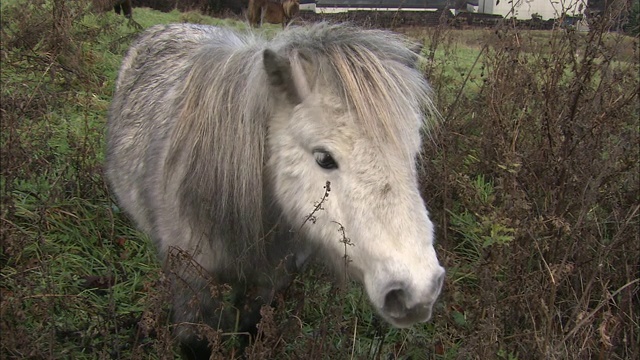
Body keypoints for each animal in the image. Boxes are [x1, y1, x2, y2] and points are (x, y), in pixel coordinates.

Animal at [105, 23, 444, 358]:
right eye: (324, 158)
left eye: (413, 153)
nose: (419, 291)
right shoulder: (192, 287)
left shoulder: (268, 284)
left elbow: (251, 329)